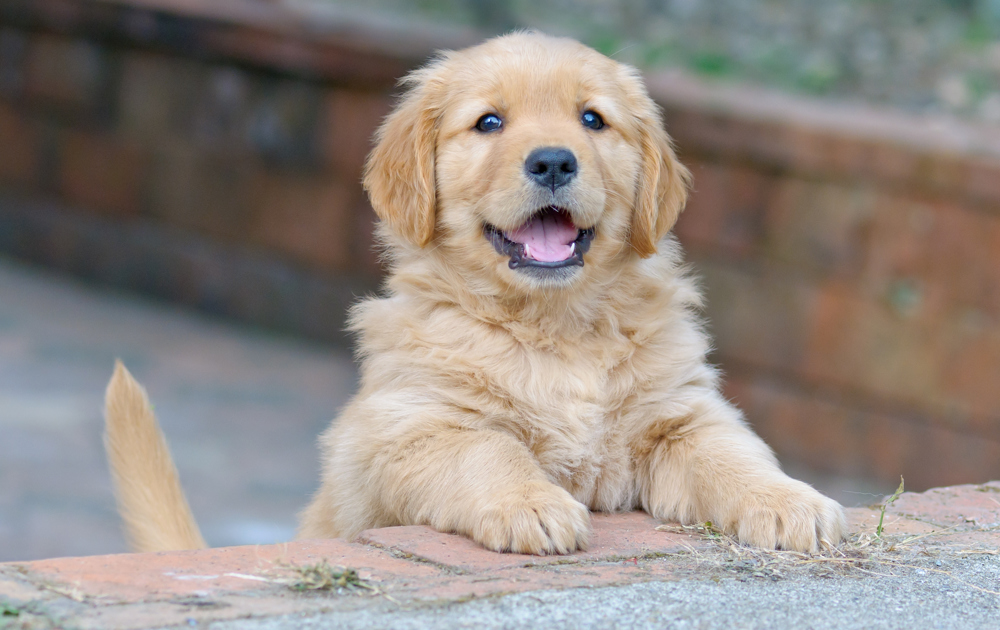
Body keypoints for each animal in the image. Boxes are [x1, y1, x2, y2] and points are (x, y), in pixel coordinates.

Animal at [105, 30, 844, 556]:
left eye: (593, 120)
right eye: (489, 123)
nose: (553, 161)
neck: (554, 328)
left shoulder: (680, 413)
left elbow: (731, 453)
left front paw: (789, 501)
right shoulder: (411, 428)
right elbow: (489, 451)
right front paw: (531, 505)